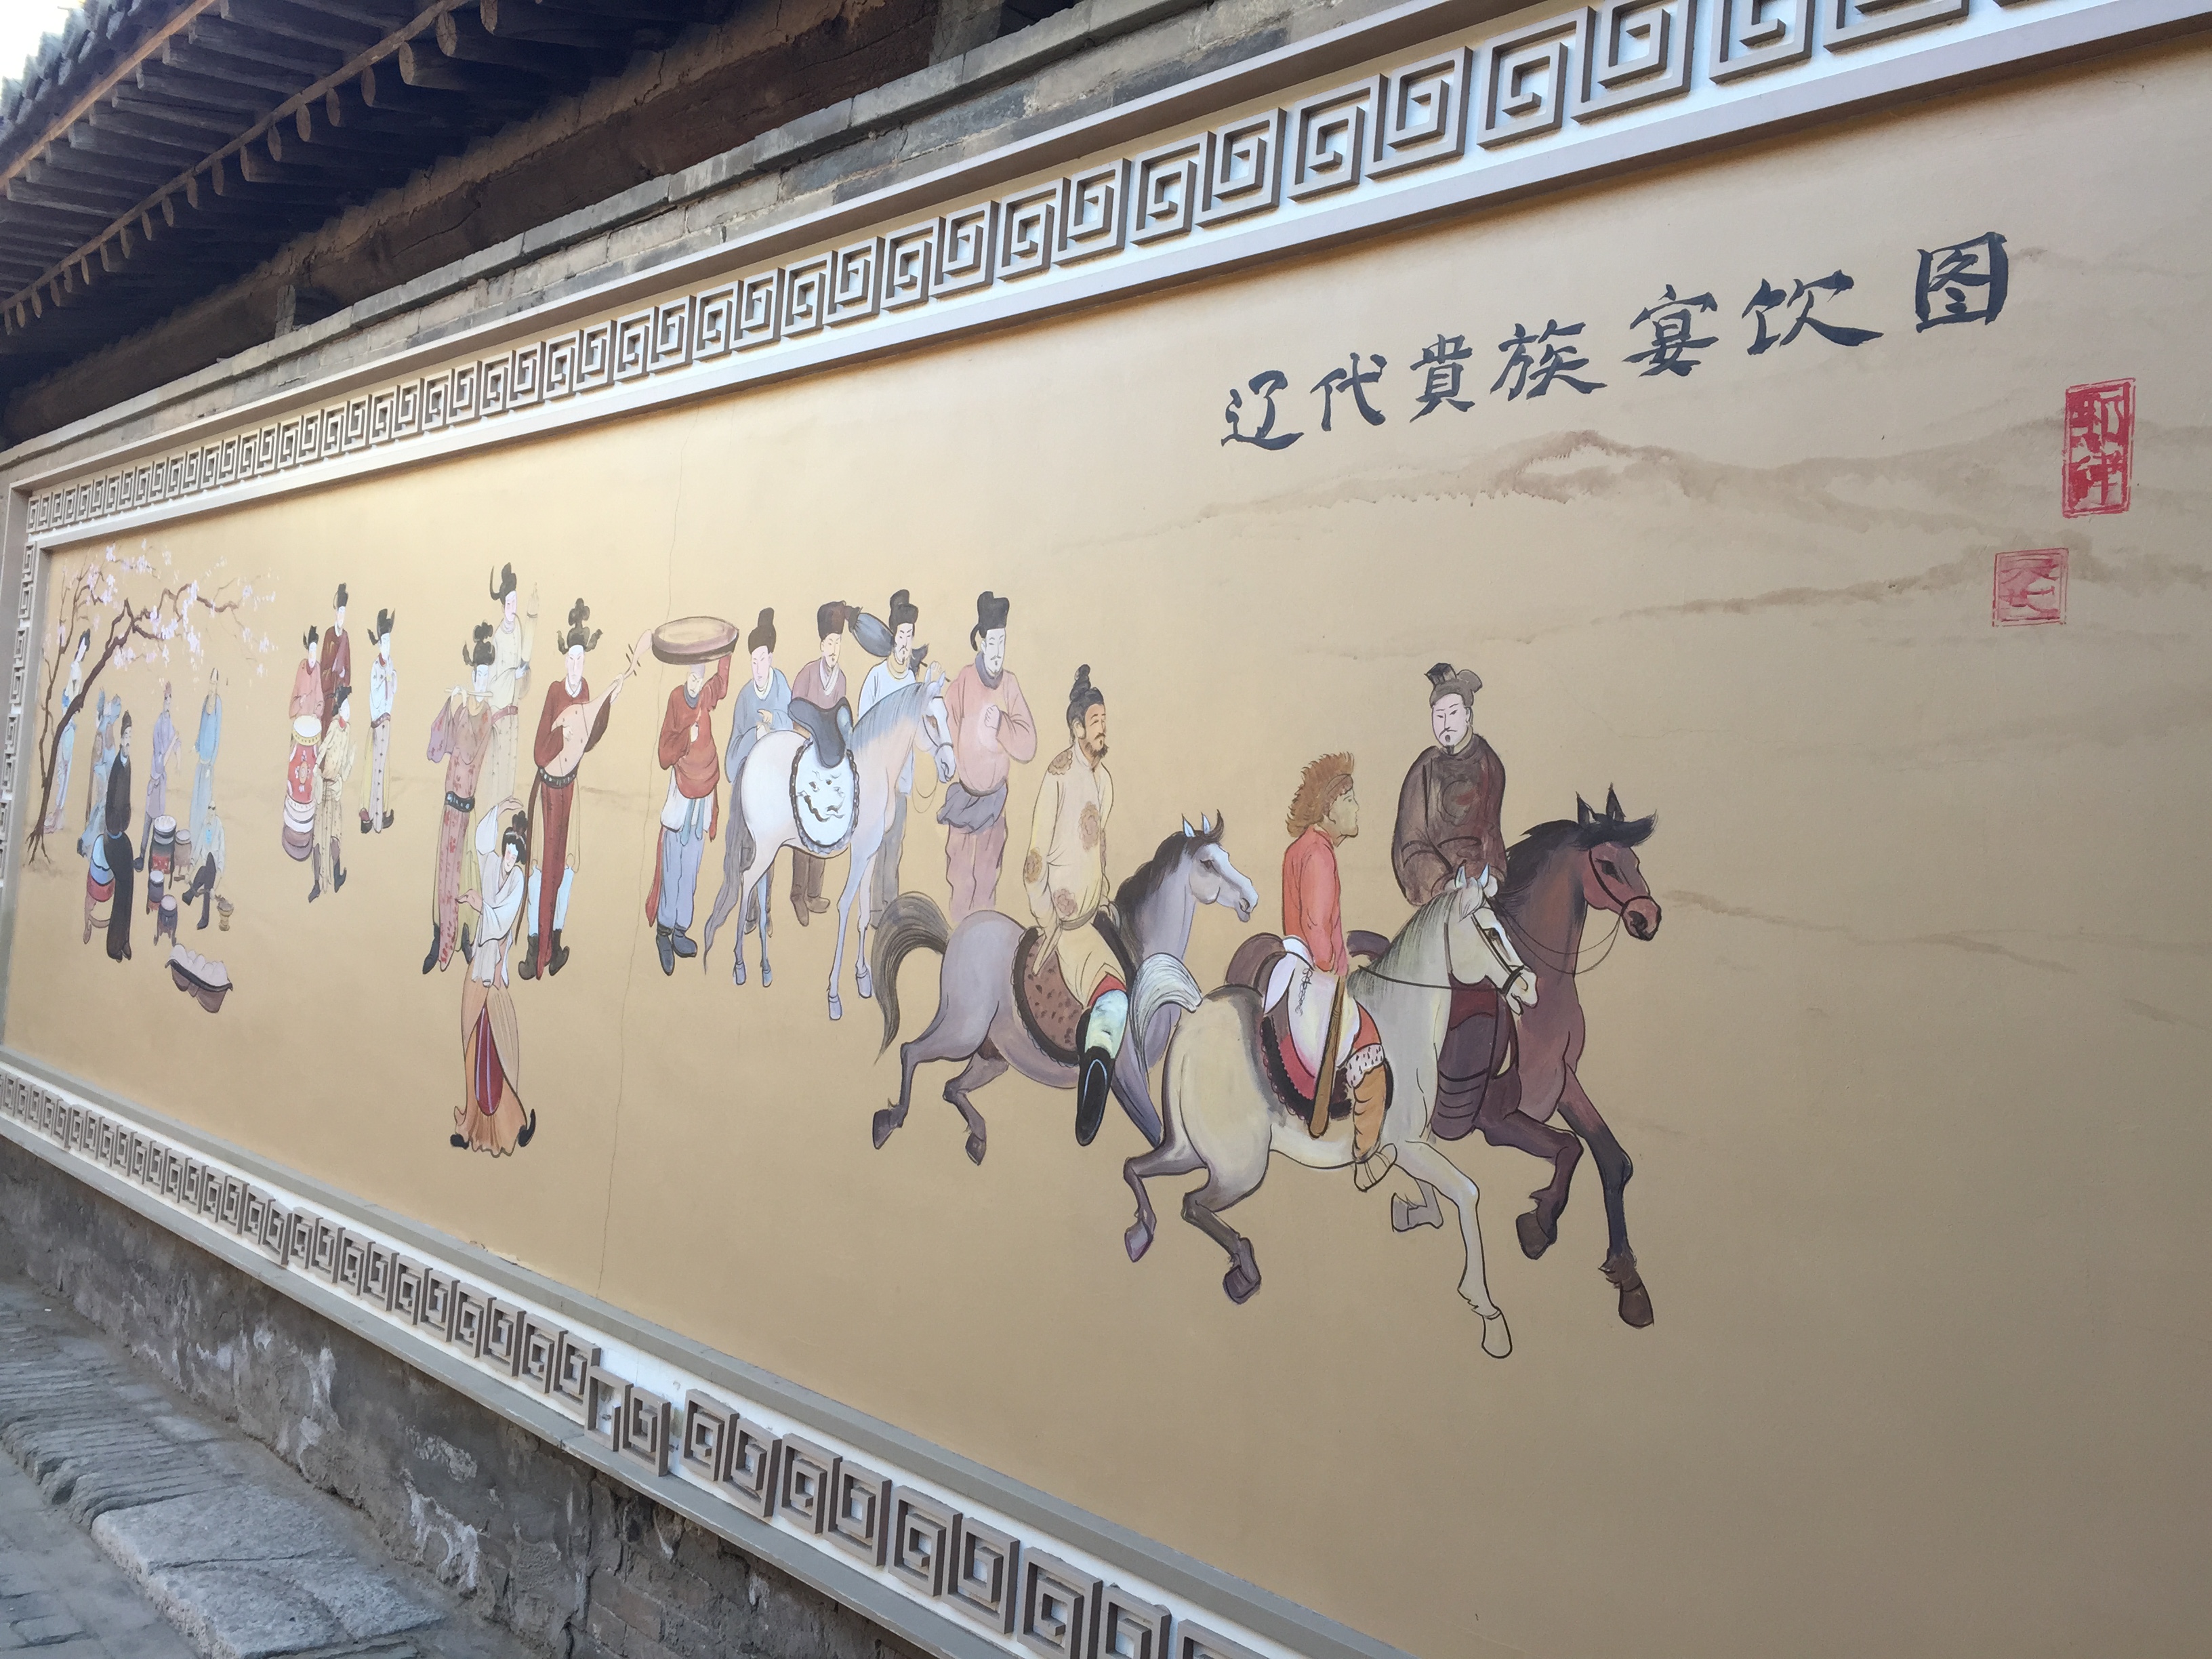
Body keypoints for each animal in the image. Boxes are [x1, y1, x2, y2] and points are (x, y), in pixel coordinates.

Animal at [703, 668, 949, 998]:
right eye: (932, 720)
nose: (950, 767)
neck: (875, 766)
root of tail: (752, 755)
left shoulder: (871, 852)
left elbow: (863, 911)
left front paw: (862, 976)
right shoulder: (860, 852)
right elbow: (846, 906)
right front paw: (834, 992)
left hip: (769, 846)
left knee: (761, 886)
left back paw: (765, 968)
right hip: (766, 848)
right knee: (746, 880)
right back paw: (740, 965)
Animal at [869, 817, 1258, 1163]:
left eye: (1226, 855)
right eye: (1208, 863)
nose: (1250, 900)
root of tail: (954, 938)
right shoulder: (1128, 1073)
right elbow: (1156, 1133)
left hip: (990, 1055)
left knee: (951, 1087)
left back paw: (977, 1139)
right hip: (963, 1032)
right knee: (910, 1051)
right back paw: (888, 1122)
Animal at [1122, 866, 1534, 1358]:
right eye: (1491, 932)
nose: (1530, 987)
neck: (1401, 1018)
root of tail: (1197, 1013)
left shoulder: (1412, 1143)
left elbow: (1435, 1203)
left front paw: (1409, 1211)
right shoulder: (1408, 1144)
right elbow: (1466, 1194)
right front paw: (1489, 1315)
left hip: (1188, 1151)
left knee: (1136, 1169)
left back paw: (1141, 1233)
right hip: (1239, 1170)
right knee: (1190, 1204)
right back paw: (1244, 1268)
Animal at [1442, 788, 1664, 1328]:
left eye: (1636, 861)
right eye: (1607, 864)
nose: (1649, 918)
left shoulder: (1562, 1081)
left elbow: (1612, 1158)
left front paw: (1628, 1278)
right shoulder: (1493, 1118)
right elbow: (1570, 1148)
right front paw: (1538, 1225)